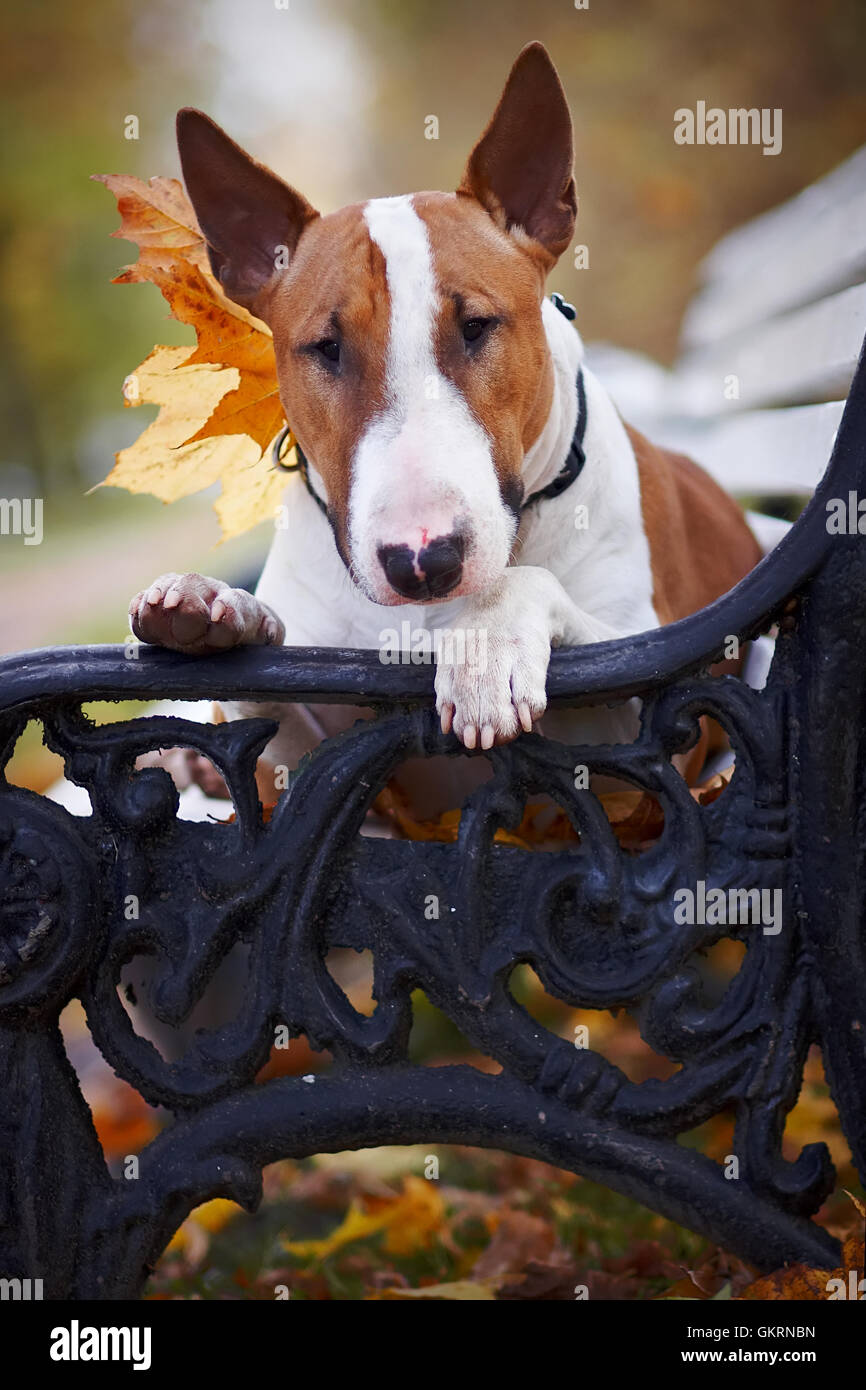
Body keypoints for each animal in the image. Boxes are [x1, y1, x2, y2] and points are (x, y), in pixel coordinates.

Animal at [127, 43, 756, 817]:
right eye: (326, 348)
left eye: (477, 326)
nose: (422, 563)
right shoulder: (318, 777)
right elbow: (263, 728)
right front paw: (215, 611)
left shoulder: (638, 744)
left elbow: (541, 601)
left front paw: (486, 646)